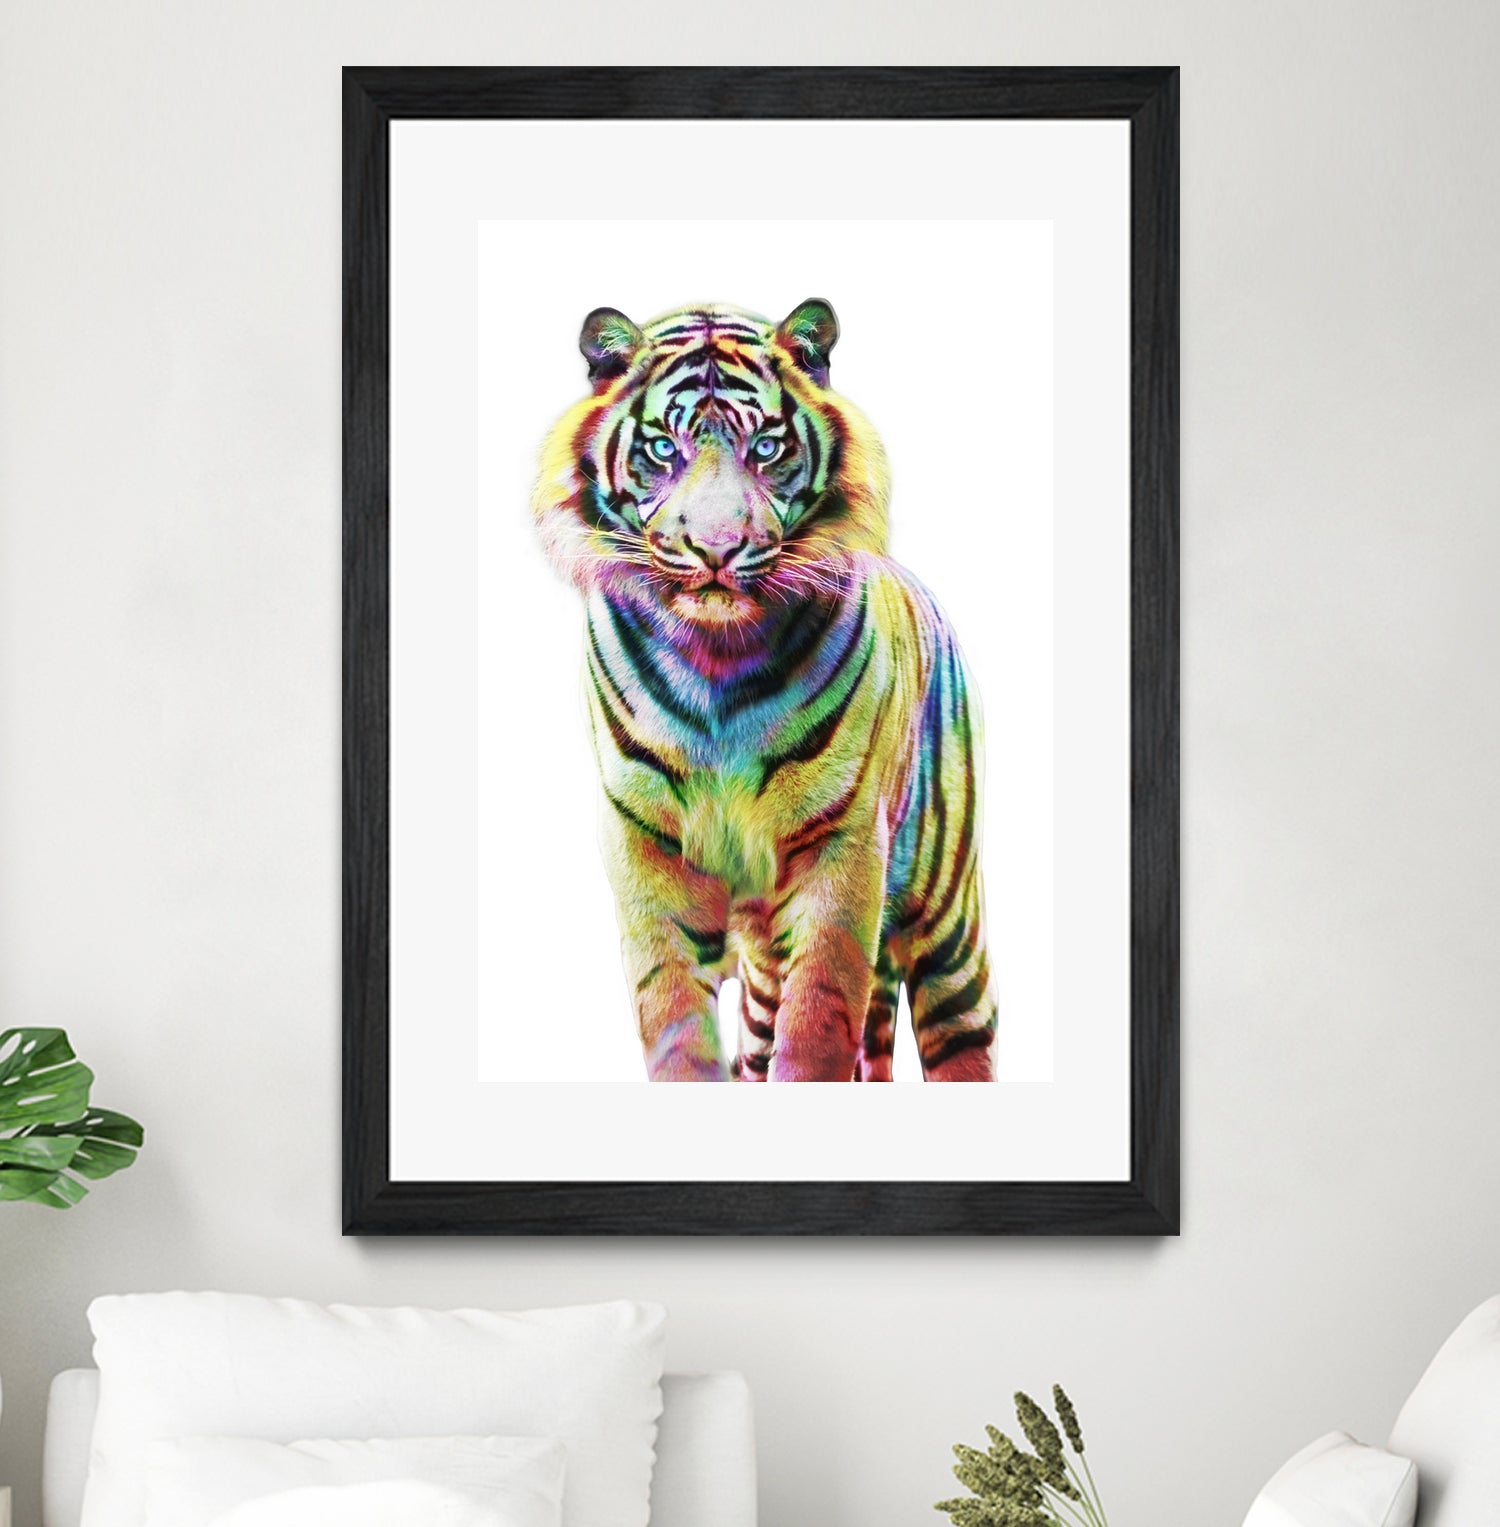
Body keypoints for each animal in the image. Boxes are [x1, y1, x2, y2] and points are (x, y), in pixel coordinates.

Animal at [532, 298, 996, 1082]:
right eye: (663, 449)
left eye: (768, 448)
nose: (717, 549)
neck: (715, 661)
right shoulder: (644, 844)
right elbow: (674, 1020)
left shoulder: (842, 846)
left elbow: (817, 1024)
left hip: (947, 925)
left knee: (962, 1035)